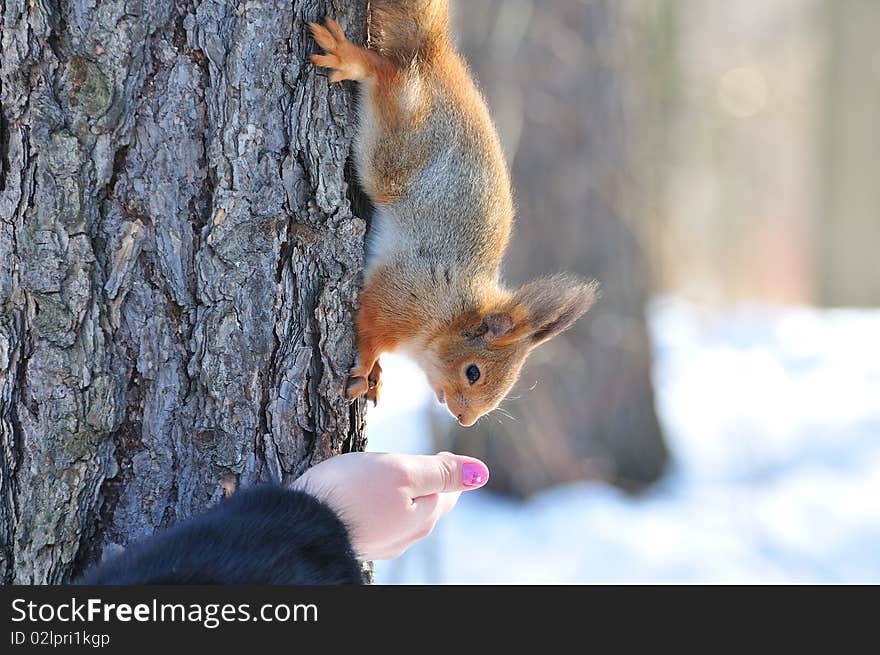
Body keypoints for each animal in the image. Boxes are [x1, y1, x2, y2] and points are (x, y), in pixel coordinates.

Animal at [312, 0, 600, 428]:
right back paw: (351, 58)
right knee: (387, 73)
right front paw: (366, 368)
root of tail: (439, 57)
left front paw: (375, 375)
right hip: (399, 142)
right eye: (473, 372)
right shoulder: (401, 296)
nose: (464, 420)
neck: (451, 312)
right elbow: (370, 333)